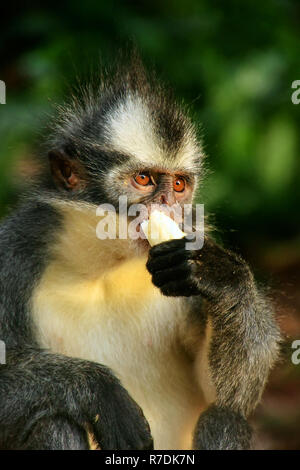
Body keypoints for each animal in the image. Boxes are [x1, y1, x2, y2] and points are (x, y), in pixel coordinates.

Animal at [0, 60, 280, 450]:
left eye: (178, 185)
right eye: (144, 179)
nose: (167, 205)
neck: (105, 266)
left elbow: (231, 394)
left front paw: (219, 276)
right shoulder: (13, 255)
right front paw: (100, 391)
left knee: (224, 417)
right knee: (52, 422)